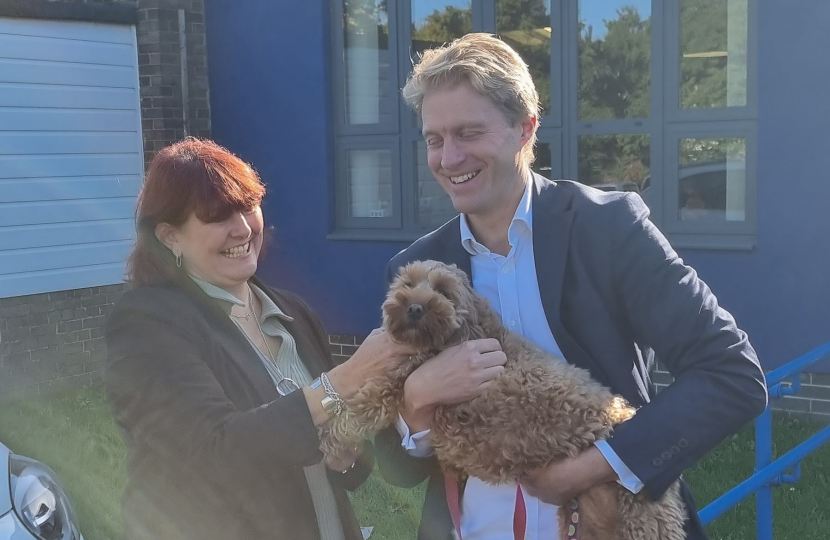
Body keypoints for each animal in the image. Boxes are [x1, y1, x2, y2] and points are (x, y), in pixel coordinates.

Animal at [318, 260, 688, 536]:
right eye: (407, 283)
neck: (464, 332)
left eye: (443, 291)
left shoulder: (400, 379)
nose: (414, 307)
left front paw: (332, 440)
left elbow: (361, 407)